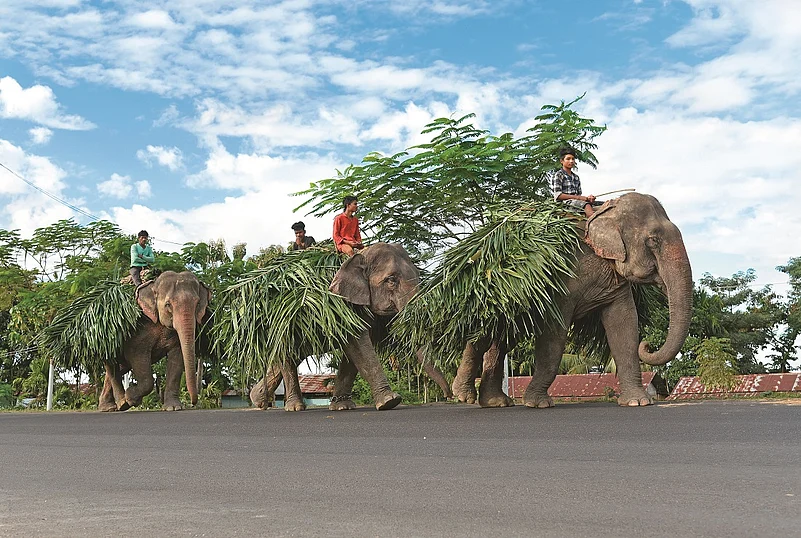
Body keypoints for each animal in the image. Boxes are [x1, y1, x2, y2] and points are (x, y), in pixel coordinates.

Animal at [98, 271, 211, 412]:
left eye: (197, 304)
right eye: (168, 304)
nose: (193, 403)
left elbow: (177, 358)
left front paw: (173, 407)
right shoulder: (138, 329)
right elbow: (138, 357)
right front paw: (131, 399)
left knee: (120, 368)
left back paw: (111, 406)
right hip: (106, 341)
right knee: (112, 365)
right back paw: (120, 404)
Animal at [252, 242, 450, 412]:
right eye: (391, 280)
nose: (449, 396)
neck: (360, 257)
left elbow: (353, 352)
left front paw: (343, 407)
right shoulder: (342, 303)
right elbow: (357, 343)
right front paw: (390, 402)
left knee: (291, 356)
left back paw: (258, 401)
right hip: (281, 321)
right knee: (286, 355)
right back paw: (294, 407)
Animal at [451, 192, 692, 408]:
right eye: (653, 241)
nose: (648, 344)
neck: (604, 212)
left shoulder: (615, 279)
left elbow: (625, 325)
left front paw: (638, 402)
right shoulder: (560, 276)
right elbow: (554, 334)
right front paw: (538, 404)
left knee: (501, 338)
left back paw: (495, 402)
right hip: (493, 292)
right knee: (483, 334)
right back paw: (464, 396)